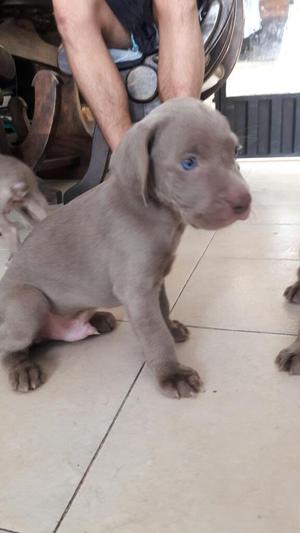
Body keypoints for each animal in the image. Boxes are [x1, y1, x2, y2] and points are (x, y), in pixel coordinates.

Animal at [0, 96, 251, 394]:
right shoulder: (137, 290)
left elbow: (163, 310)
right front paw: (172, 373)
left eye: (235, 151)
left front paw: (171, 328)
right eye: (189, 163)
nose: (245, 202)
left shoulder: (155, 280)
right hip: (29, 302)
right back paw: (22, 368)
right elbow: (155, 334)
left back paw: (98, 319)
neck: (158, 213)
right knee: (9, 344)